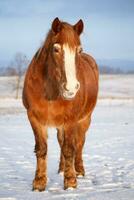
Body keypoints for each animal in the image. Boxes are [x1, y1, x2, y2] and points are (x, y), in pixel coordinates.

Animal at [22, 17, 98, 191]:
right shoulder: (34, 118)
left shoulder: (71, 120)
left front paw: (70, 182)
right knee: (62, 142)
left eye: (79, 50)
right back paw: (62, 169)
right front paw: (39, 183)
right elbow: (42, 149)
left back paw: (79, 171)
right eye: (56, 49)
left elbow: (70, 149)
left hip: (85, 119)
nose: (71, 88)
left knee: (79, 143)